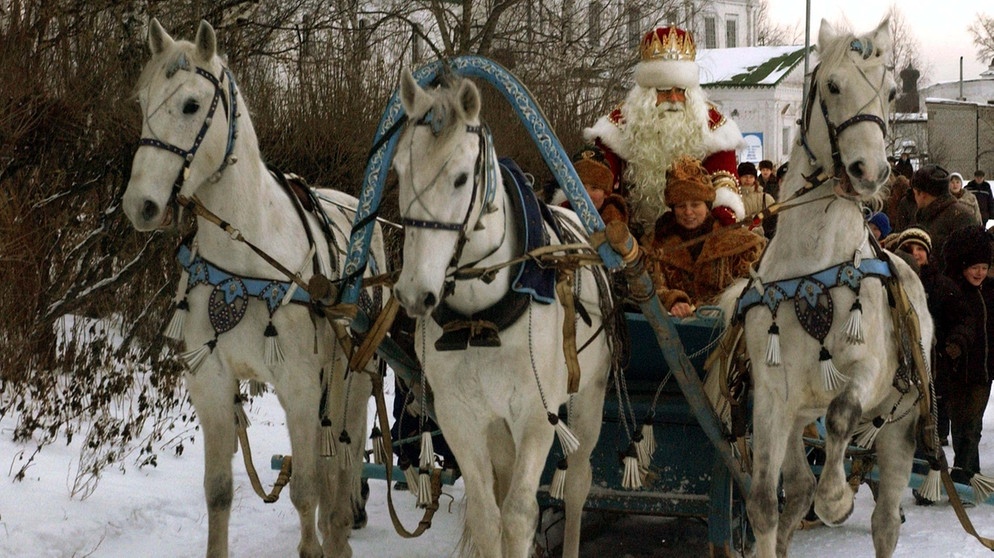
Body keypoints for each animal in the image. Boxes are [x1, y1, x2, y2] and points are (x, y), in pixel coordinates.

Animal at [122, 18, 386, 558]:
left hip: (355, 370)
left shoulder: (300, 386)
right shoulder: (211, 382)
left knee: (346, 449)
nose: (141, 204)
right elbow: (219, 491)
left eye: (191, 105)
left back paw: (342, 525)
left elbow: (305, 489)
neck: (244, 256)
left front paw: (316, 545)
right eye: (142, 101)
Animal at [394, 71, 612, 558]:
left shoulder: (536, 416)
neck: (481, 320)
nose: (415, 292)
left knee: (578, 483)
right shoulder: (460, 417)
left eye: (460, 178)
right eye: (397, 170)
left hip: (588, 398)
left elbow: (518, 516)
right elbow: (486, 515)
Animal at [712, 18, 928, 558]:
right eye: (832, 85)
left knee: (884, 521)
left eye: (891, 93)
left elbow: (842, 414)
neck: (814, 264)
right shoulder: (772, 396)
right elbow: (764, 504)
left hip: (899, 427)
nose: (871, 171)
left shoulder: (868, 369)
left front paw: (836, 498)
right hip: (795, 417)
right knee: (796, 489)